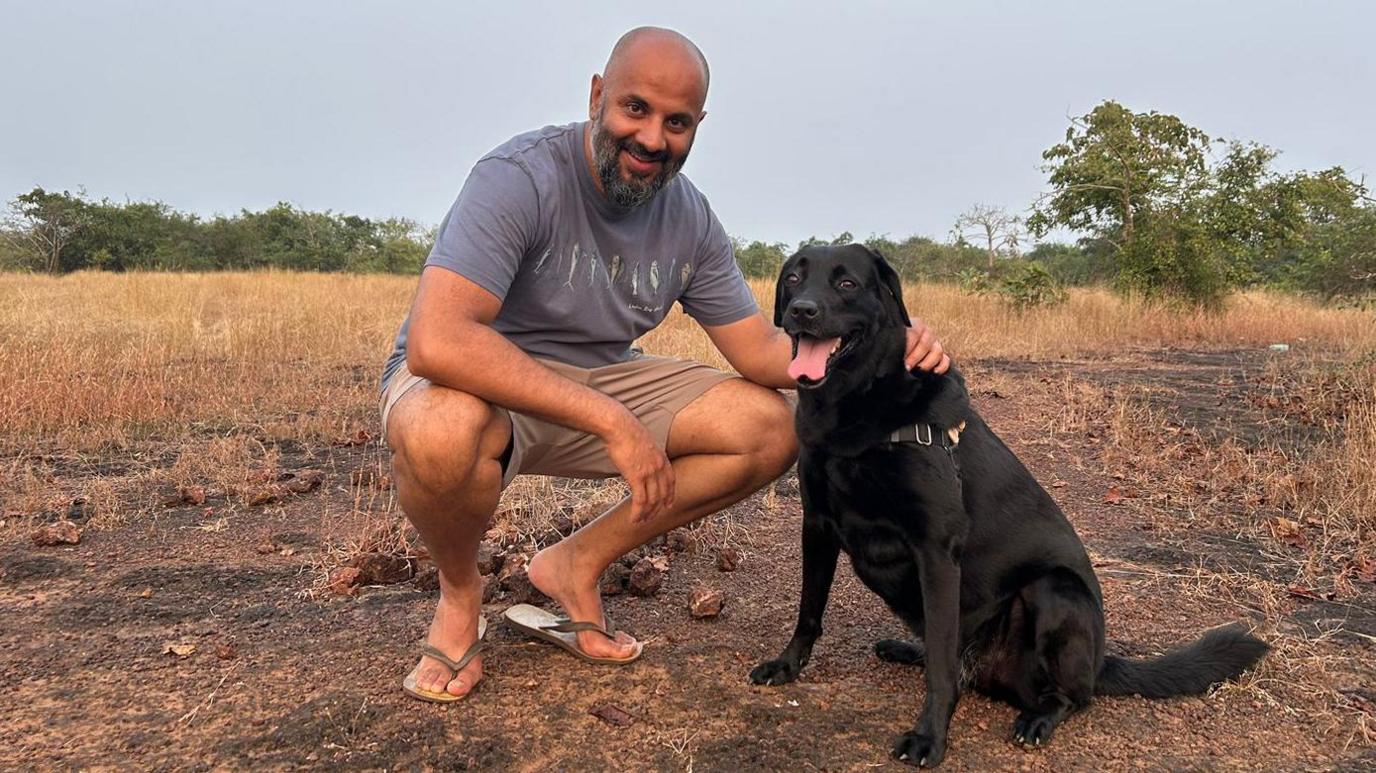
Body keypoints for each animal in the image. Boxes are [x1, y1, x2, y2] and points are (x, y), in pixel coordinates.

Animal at [754, 244, 1265, 764]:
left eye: (847, 284)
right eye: (794, 278)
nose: (802, 312)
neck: (854, 405)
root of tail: (1100, 663)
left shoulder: (936, 549)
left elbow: (941, 669)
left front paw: (929, 737)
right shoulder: (817, 526)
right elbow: (809, 610)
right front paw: (787, 665)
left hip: (1055, 592)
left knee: (1067, 695)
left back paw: (1038, 718)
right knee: (946, 652)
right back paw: (906, 650)